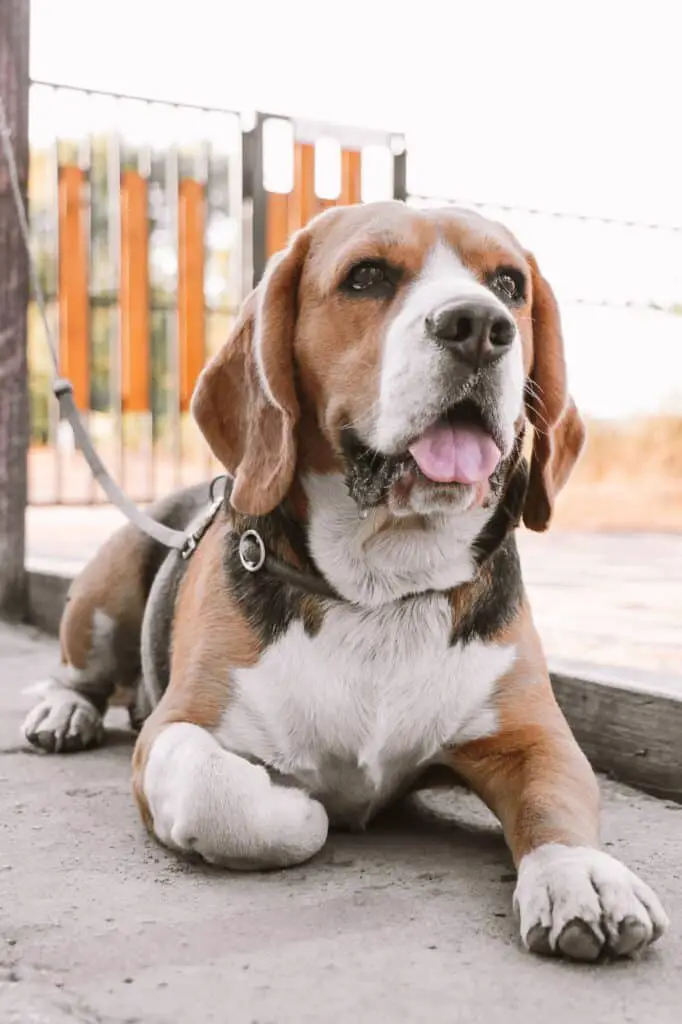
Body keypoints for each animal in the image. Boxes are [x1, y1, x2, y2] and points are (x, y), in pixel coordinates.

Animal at [23, 199, 667, 958]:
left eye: (509, 285)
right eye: (366, 277)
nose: (480, 327)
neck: (380, 584)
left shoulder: (534, 737)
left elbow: (554, 800)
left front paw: (579, 875)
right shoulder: (176, 730)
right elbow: (232, 796)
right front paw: (302, 802)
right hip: (108, 588)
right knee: (81, 673)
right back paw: (63, 711)